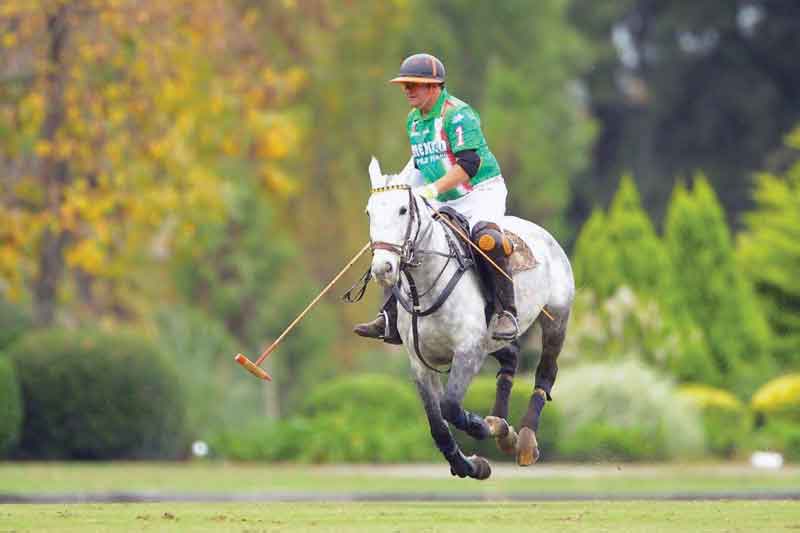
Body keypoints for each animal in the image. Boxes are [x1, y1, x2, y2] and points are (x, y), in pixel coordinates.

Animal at [366, 157, 572, 478]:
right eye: (369, 211)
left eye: (402, 209)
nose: (383, 268)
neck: (425, 286)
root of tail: (544, 234)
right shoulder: (420, 363)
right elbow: (438, 424)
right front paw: (470, 464)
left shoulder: (468, 350)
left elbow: (451, 407)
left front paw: (483, 427)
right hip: (493, 339)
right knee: (511, 355)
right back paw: (506, 432)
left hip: (557, 317)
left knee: (546, 372)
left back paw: (525, 439)